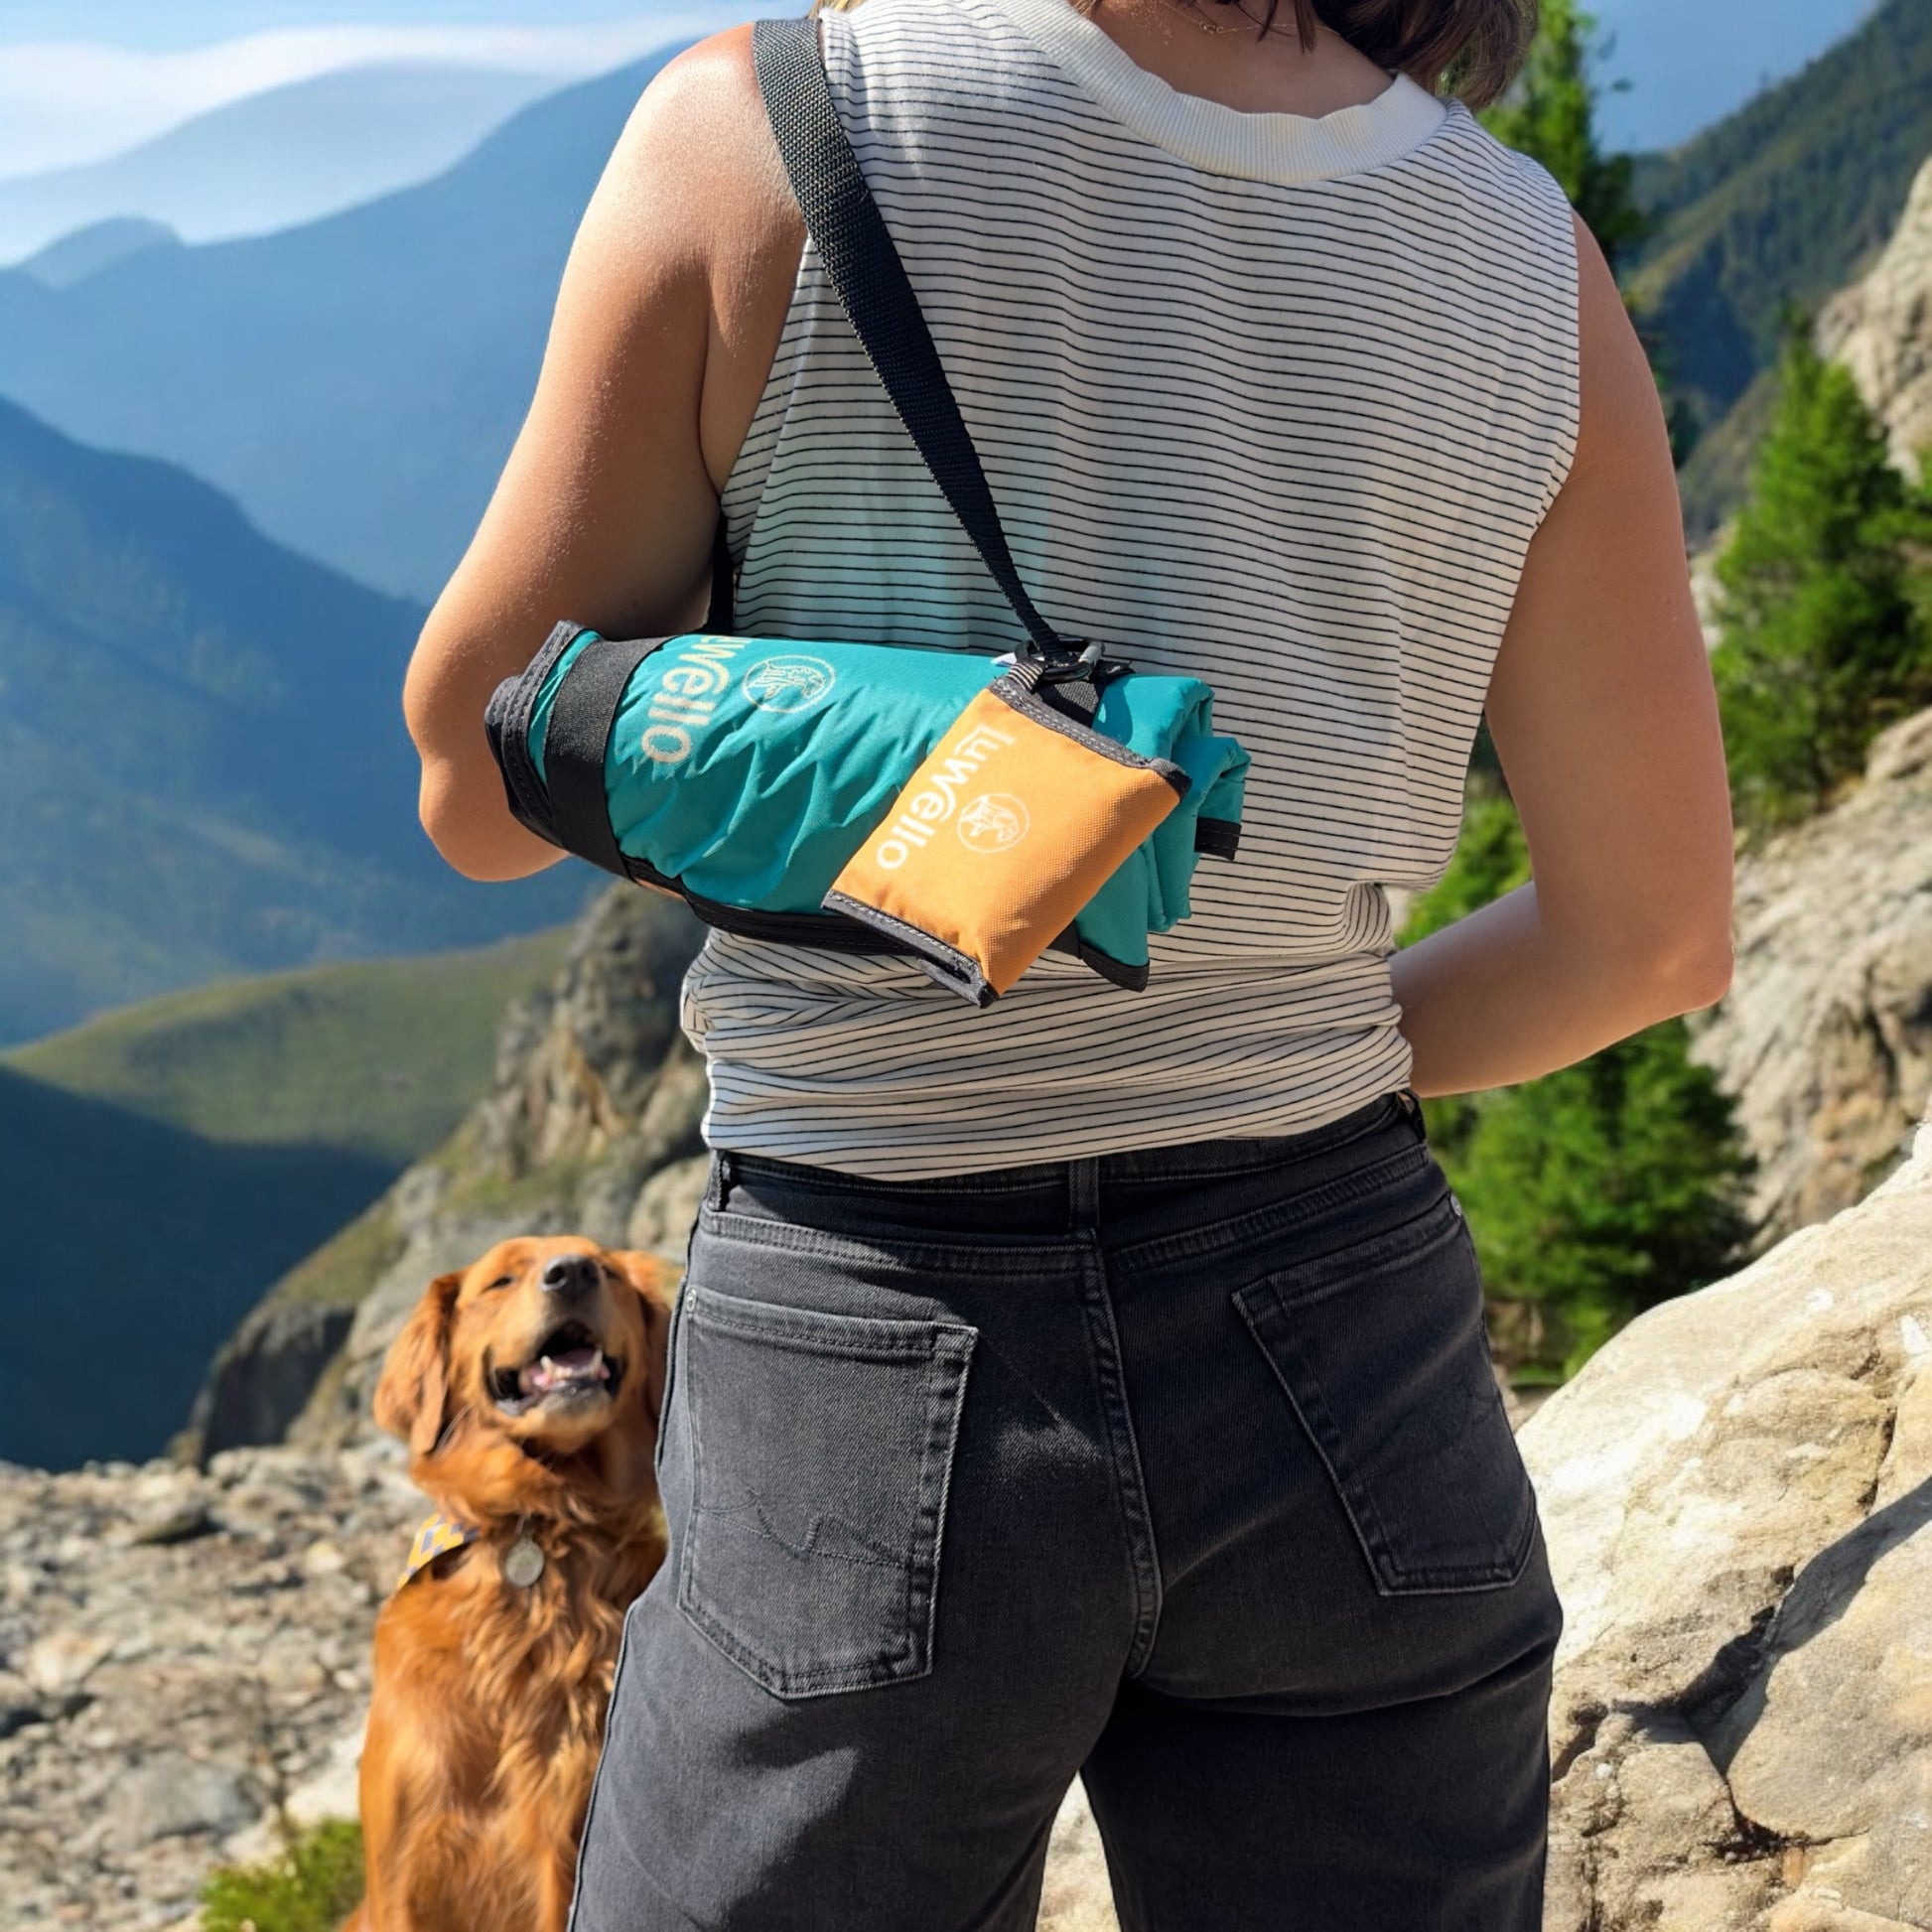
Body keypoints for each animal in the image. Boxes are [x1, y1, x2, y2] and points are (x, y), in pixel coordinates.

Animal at [347, 1236, 679, 1932]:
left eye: (605, 1270)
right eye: (500, 1280)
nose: (572, 1274)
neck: (542, 1515)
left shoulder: (566, 1842)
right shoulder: (404, 1870)